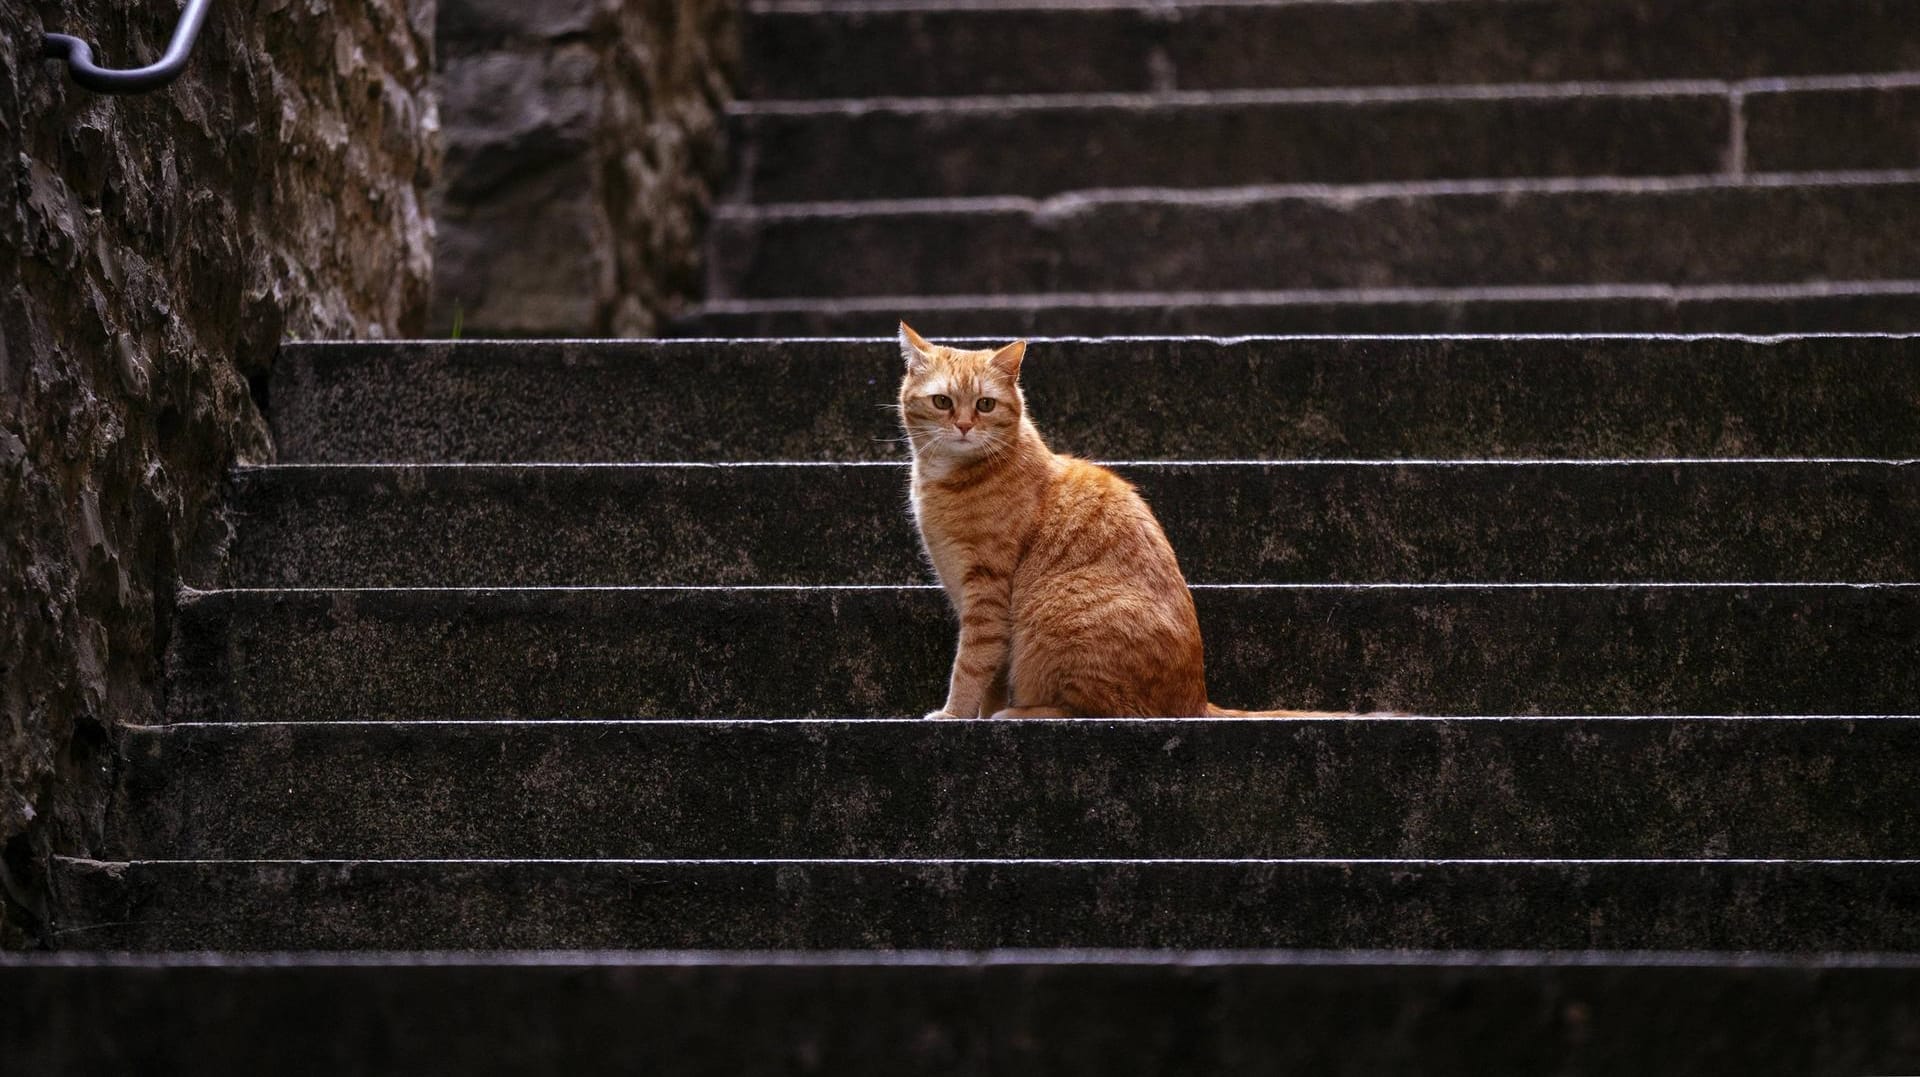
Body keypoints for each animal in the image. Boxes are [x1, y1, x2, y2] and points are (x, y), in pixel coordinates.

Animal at [894, 322, 1336, 718]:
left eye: (984, 404)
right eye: (942, 402)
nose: (964, 426)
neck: (946, 478)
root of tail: (1195, 701)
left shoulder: (986, 593)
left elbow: (971, 665)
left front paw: (954, 714)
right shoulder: (970, 596)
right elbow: (991, 674)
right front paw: (979, 714)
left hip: (1055, 614)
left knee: (1099, 709)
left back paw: (1020, 713)